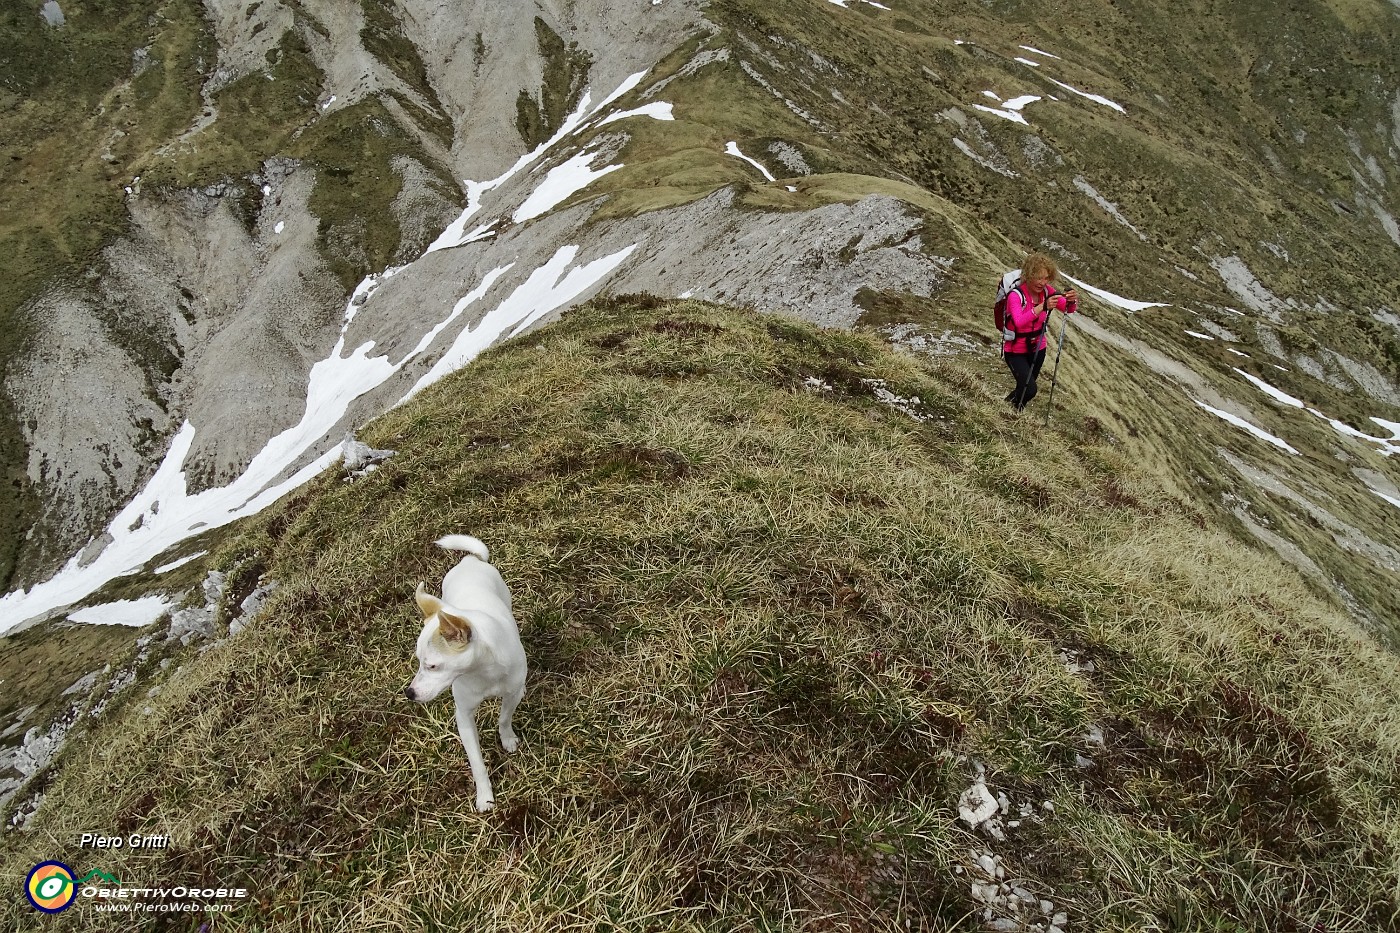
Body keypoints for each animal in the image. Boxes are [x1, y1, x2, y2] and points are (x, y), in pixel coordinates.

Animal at [411, 535, 532, 812]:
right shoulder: (464, 717)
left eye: (432, 666)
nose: (409, 693)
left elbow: (504, 717)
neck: (483, 672)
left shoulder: (508, 696)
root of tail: (469, 560)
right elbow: (477, 762)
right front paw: (484, 796)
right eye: (419, 662)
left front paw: (507, 738)